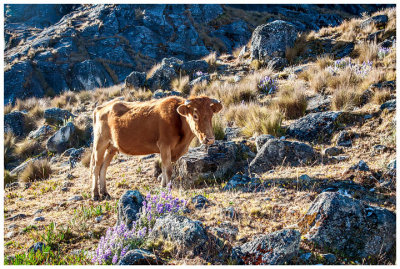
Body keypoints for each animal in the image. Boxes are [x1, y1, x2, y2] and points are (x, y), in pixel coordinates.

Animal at [88, 95, 223, 200]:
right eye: (195, 115)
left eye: (211, 115)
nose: (210, 139)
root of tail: (101, 107)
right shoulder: (164, 145)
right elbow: (168, 170)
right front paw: (168, 189)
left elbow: (163, 168)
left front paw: (163, 187)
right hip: (100, 142)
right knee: (96, 166)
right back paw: (95, 194)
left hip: (112, 147)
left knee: (103, 167)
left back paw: (105, 193)